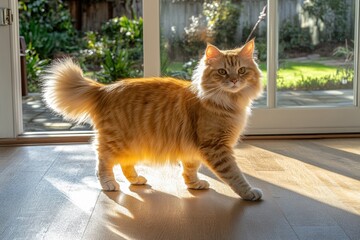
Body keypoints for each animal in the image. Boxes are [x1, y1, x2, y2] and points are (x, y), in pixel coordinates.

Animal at [43, 39, 264, 201]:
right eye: (222, 72)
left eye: (242, 70)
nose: (234, 81)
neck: (229, 103)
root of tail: (104, 89)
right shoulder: (215, 146)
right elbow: (234, 175)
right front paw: (249, 192)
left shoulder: (194, 149)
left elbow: (190, 169)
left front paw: (194, 184)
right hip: (116, 141)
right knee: (103, 161)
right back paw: (108, 184)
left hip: (131, 144)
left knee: (125, 164)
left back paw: (136, 179)